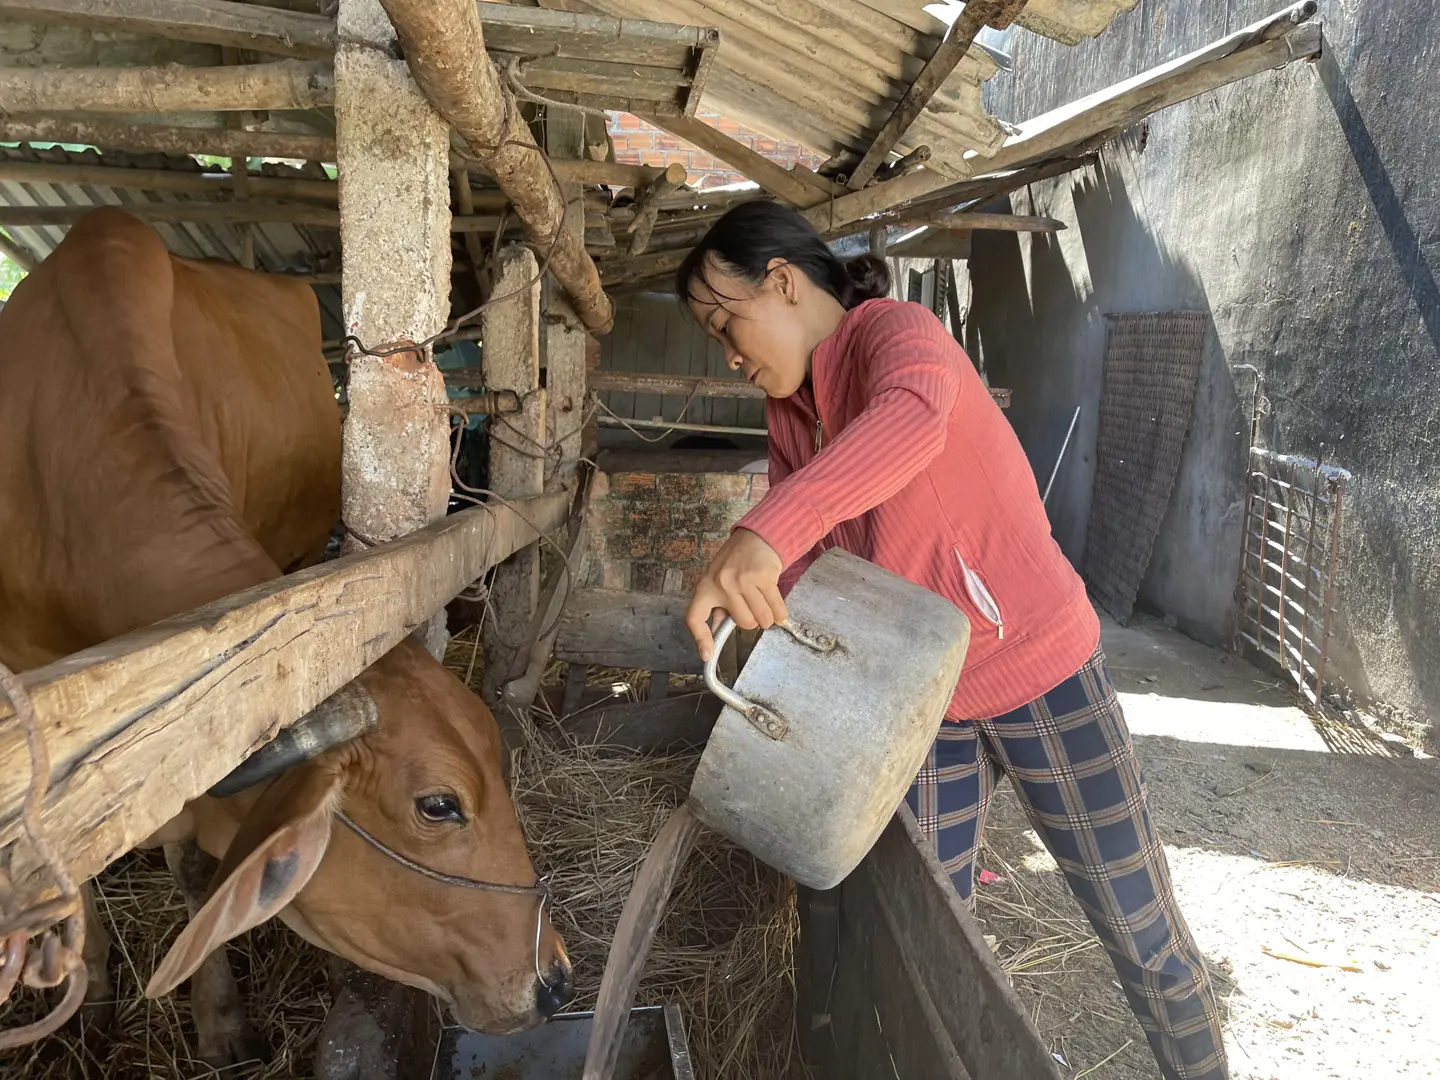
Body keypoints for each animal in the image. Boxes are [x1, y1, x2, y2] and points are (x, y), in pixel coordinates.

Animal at [0, 208, 573, 1065]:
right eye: (438, 806)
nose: (555, 978)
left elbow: (191, 864)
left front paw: (219, 1019)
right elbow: (73, 870)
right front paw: (94, 998)